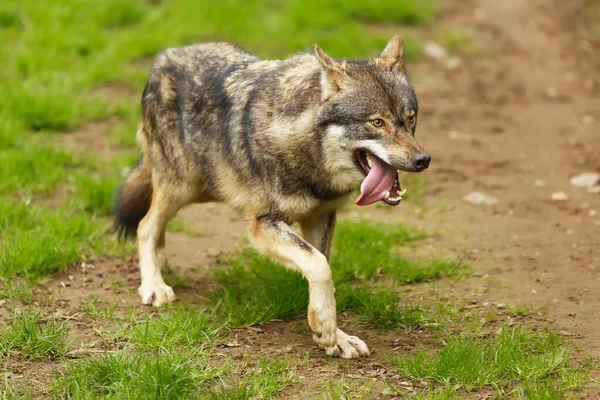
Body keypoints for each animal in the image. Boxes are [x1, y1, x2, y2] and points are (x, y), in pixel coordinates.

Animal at [112, 35, 428, 360]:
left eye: (410, 119)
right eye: (377, 122)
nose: (422, 160)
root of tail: (166, 55)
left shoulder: (320, 216)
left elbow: (323, 270)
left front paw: (335, 337)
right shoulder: (262, 223)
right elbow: (319, 265)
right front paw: (326, 329)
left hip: (201, 189)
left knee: (155, 226)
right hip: (181, 187)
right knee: (145, 226)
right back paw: (153, 286)